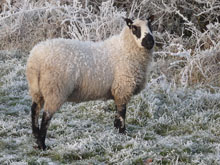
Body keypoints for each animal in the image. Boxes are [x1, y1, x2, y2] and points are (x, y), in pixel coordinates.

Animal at [26, 16, 155, 150]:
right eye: (134, 28)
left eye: (150, 25)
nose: (150, 41)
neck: (125, 49)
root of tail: (35, 59)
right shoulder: (123, 88)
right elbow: (122, 114)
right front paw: (122, 133)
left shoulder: (117, 90)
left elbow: (117, 113)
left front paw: (115, 131)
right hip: (55, 90)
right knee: (46, 117)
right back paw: (42, 145)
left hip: (37, 90)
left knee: (34, 110)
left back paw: (36, 136)